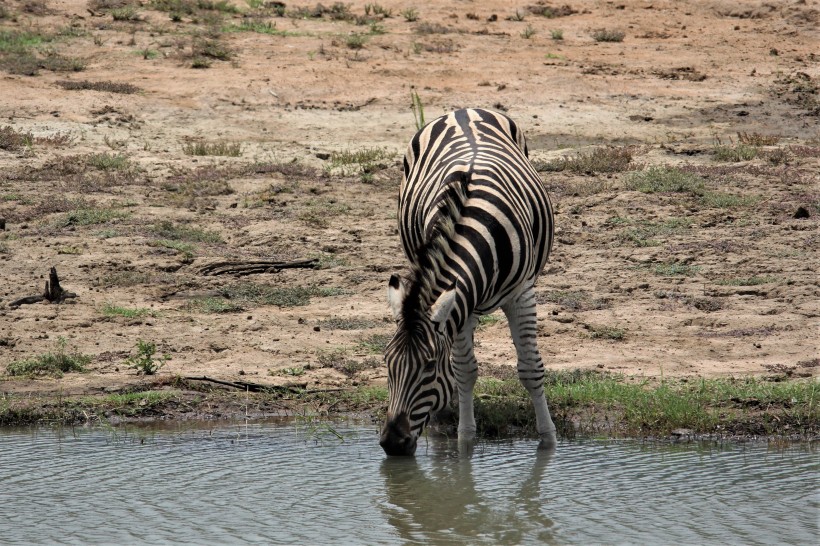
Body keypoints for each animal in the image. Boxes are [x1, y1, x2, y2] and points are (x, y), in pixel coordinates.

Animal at [382, 106, 560, 454]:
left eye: (428, 366)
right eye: (387, 363)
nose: (392, 444)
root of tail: (461, 111)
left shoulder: (522, 294)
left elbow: (530, 368)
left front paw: (548, 441)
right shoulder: (461, 301)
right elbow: (464, 370)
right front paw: (464, 440)